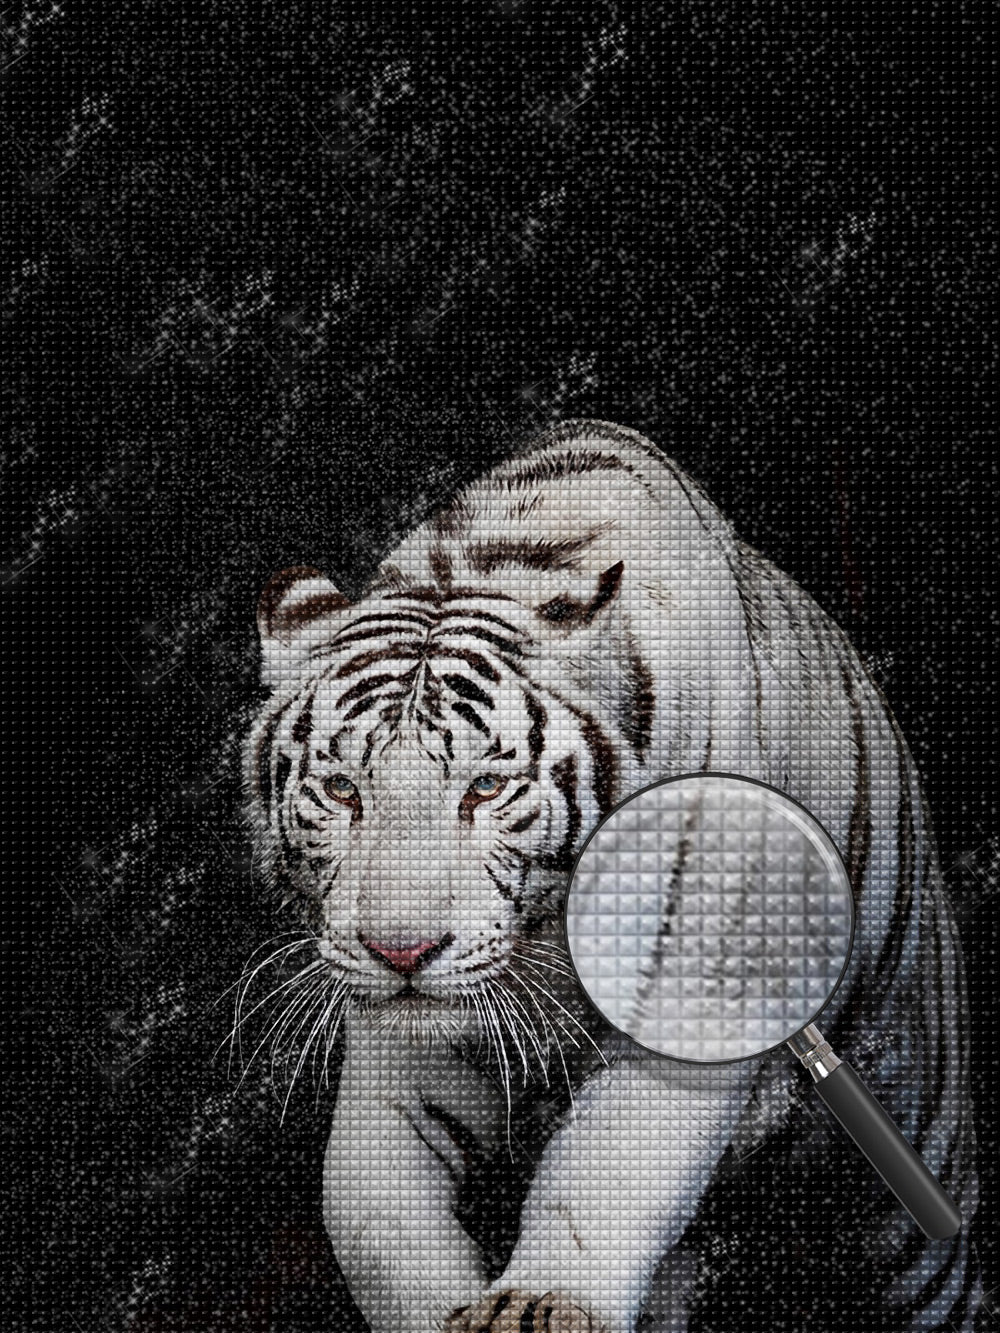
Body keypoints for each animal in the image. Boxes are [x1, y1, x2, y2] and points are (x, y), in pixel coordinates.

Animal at [241, 419, 980, 1333]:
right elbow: (369, 1216)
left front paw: (536, 1306)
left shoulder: (698, 1001)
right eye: (343, 789)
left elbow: (603, 1174)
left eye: (486, 788)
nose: (400, 952)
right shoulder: (397, 1060)